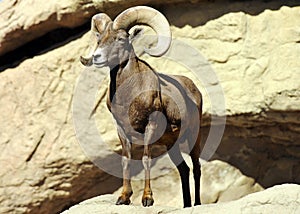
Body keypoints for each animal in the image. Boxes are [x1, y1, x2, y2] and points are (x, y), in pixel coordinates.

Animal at [79, 6, 203, 207]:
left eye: (121, 39)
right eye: (99, 39)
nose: (97, 57)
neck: (128, 96)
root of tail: (195, 89)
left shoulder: (150, 125)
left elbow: (146, 159)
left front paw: (147, 199)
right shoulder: (122, 130)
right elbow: (126, 161)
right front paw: (123, 198)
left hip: (194, 135)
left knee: (196, 167)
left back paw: (197, 204)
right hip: (171, 145)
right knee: (183, 169)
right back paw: (186, 205)